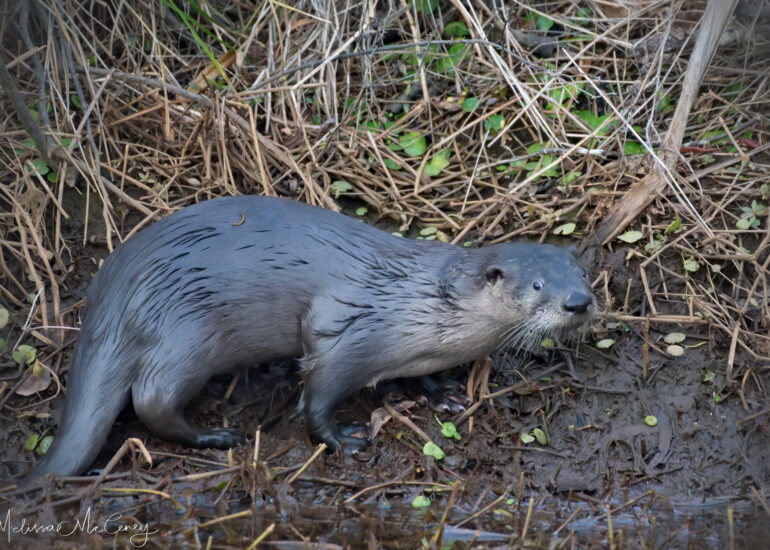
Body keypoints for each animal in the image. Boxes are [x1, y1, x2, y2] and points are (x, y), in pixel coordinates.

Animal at [24, 195, 594, 481]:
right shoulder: (349, 335)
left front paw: (441, 392)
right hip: (186, 335)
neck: (422, 304)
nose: (578, 302)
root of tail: (116, 287)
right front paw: (342, 440)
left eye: (581, 273)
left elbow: (417, 375)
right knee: (151, 398)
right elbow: (317, 395)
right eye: (537, 285)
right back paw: (215, 437)